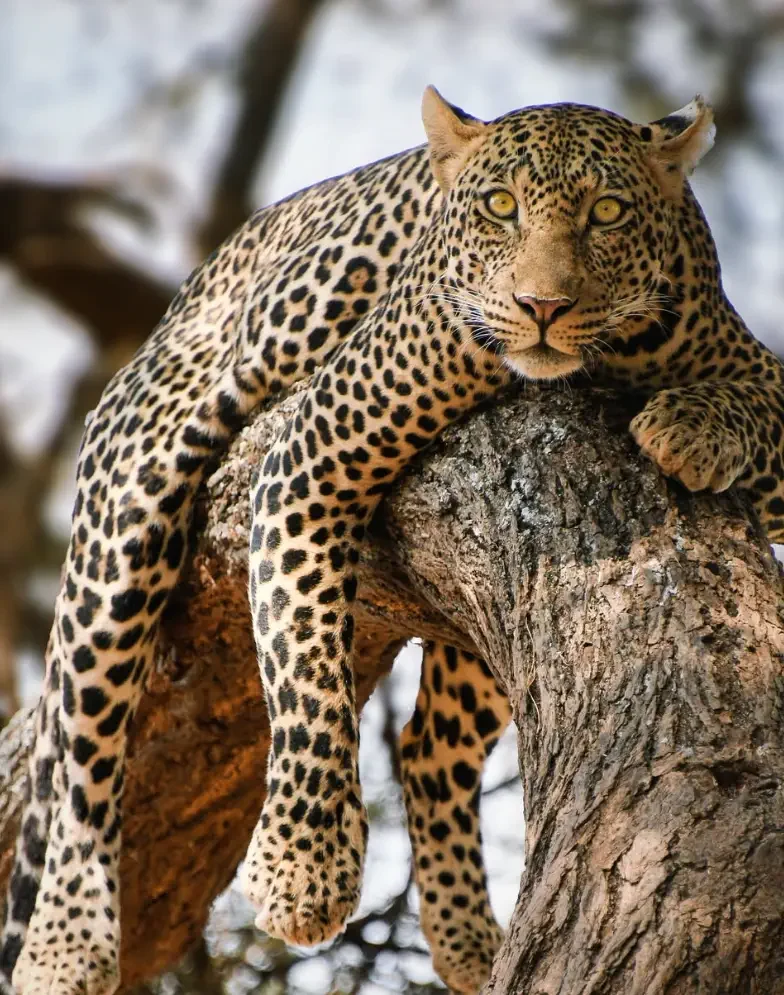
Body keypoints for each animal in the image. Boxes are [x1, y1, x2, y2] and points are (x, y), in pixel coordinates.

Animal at [3, 85, 784, 995]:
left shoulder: (742, 359)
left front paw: (693, 425)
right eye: (501, 207)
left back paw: (468, 940)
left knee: (424, 748)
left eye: (607, 212)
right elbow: (305, 670)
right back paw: (61, 947)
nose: (543, 308)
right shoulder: (307, 460)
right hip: (130, 496)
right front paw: (302, 868)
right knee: (84, 753)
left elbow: (758, 403)